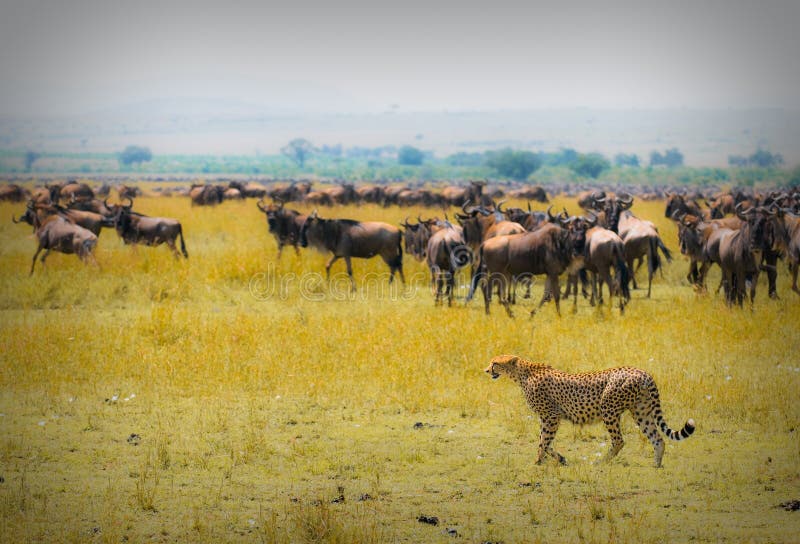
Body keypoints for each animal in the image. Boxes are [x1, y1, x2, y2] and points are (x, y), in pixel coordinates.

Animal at [482, 352, 692, 468]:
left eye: (495, 363)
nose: (486, 370)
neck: (523, 373)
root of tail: (642, 372)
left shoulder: (551, 416)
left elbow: (543, 441)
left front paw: (538, 462)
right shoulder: (547, 417)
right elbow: (544, 441)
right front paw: (559, 459)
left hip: (609, 409)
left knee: (619, 440)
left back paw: (600, 462)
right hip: (641, 412)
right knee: (657, 438)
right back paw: (656, 464)